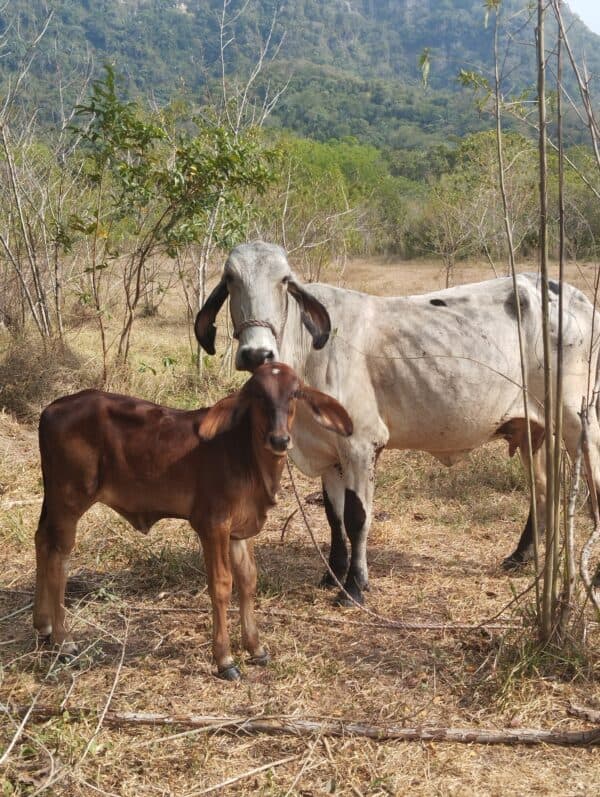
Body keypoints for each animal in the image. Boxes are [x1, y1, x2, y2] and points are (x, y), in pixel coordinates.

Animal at [33, 362, 352, 680]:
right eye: (257, 394)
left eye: (295, 393)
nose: (279, 439)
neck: (246, 454)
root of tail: (52, 408)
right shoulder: (212, 524)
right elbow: (221, 585)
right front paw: (225, 659)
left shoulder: (240, 530)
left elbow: (248, 579)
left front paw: (255, 647)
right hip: (69, 500)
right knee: (59, 560)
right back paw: (64, 641)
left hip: (54, 501)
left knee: (41, 541)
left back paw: (43, 626)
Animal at [194, 241, 600, 607]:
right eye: (230, 279)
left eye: (283, 280)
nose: (256, 353)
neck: (308, 352)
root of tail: (576, 297)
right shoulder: (329, 454)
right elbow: (333, 517)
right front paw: (332, 574)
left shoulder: (360, 445)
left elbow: (357, 518)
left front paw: (354, 587)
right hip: (535, 430)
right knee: (543, 489)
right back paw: (520, 556)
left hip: (577, 419)